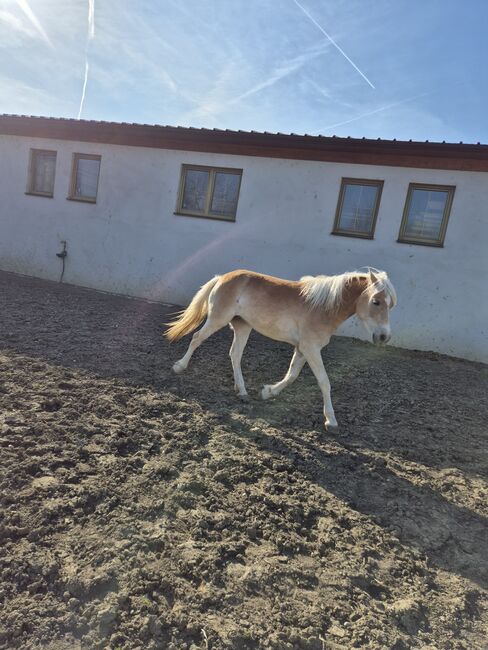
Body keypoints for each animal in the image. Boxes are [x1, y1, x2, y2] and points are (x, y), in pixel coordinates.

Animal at [165, 268, 396, 430]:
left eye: (391, 305)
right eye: (376, 301)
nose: (384, 337)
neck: (323, 307)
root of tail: (222, 277)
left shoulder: (302, 349)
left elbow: (291, 375)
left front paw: (268, 392)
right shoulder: (311, 349)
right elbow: (324, 382)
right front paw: (331, 421)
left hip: (243, 326)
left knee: (235, 355)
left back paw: (242, 391)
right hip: (218, 319)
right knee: (197, 338)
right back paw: (179, 366)